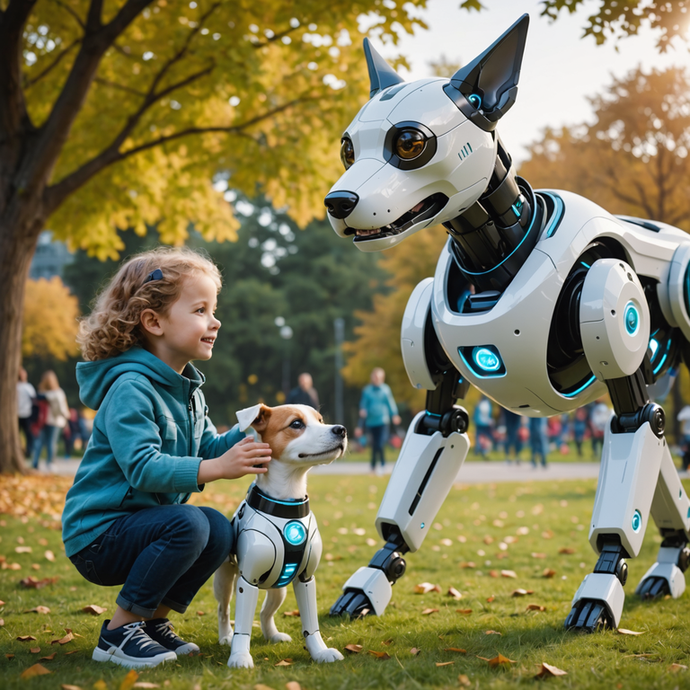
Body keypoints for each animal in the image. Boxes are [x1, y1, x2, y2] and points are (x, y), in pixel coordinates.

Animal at [214, 404, 346, 668]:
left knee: (265, 612)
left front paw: (319, 651)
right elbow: (242, 626)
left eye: (320, 420)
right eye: (296, 424)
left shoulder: (306, 578)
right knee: (223, 611)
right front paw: (240, 655)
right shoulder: (248, 580)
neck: (286, 503)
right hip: (224, 580)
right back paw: (225, 637)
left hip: (279, 587)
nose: (341, 430)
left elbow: (311, 625)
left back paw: (272, 635)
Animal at [326, 14, 688, 628]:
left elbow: (636, 419)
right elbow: (438, 424)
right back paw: (669, 564)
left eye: (410, 142)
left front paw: (599, 593)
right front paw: (370, 581)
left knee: (653, 422)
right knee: (663, 451)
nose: (338, 202)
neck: (498, 251)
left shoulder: (607, 301)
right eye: (349, 147)